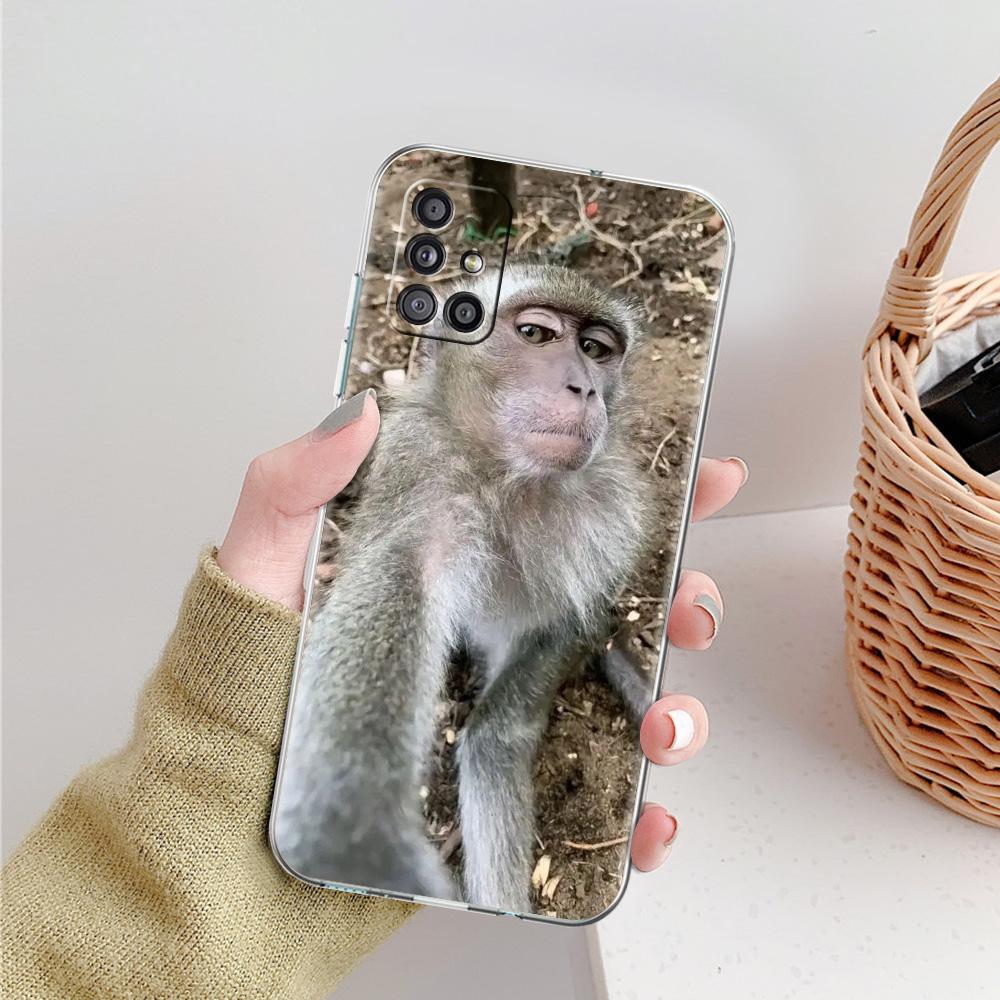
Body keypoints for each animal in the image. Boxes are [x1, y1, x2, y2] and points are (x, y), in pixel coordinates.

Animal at [271, 262, 655, 914]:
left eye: (596, 349)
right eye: (536, 334)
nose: (584, 388)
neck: (506, 476)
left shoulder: (608, 514)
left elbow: (565, 621)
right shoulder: (422, 471)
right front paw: (348, 839)